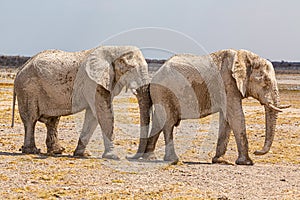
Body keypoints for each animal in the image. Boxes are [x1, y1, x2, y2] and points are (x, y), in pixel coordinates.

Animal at [11, 45, 150, 159]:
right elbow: (103, 113)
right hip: (28, 90)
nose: (129, 156)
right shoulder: (93, 82)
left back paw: (57, 151)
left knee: (53, 121)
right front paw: (113, 156)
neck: (115, 48)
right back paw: (32, 151)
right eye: (131, 69)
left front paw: (83, 154)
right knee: (31, 120)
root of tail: (20, 69)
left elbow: (93, 116)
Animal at [129, 49, 290, 165]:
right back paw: (173, 160)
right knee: (168, 123)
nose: (257, 151)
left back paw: (149, 157)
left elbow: (226, 119)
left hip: (161, 94)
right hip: (164, 92)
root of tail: (154, 77)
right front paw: (247, 162)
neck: (246, 57)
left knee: (159, 121)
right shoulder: (228, 85)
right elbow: (236, 116)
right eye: (266, 83)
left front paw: (220, 161)